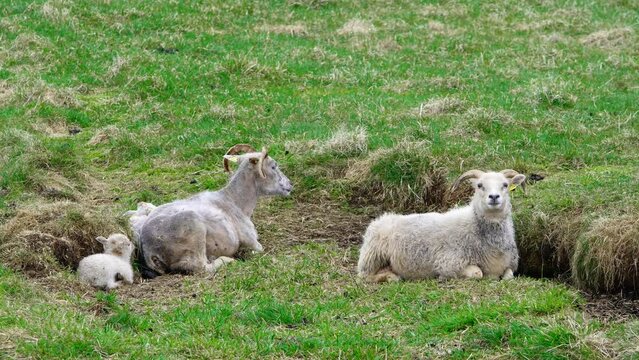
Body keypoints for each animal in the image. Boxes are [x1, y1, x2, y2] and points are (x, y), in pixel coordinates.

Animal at [139, 144, 294, 278]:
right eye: (273, 166)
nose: (290, 185)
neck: (235, 202)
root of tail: (149, 248)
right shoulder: (251, 241)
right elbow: (259, 249)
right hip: (193, 232)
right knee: (200, 267)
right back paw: (227, 260)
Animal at [358, 170, 528, 282]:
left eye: (505, 185)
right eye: (480, 185)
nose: (494, 197)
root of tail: (380, 219)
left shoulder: (509, 266)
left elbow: (508, 276)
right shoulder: (450, 263)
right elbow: (477, 273)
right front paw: (441, 277)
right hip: (373, 256)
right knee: (364, 276)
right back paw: (390, 276)